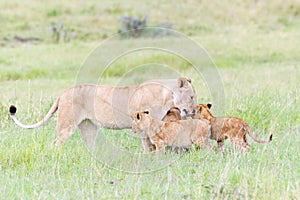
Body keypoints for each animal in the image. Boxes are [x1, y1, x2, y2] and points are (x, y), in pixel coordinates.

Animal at [9, 77, 197, 145]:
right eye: (192, 97)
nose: (195, 110)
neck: (168, 96)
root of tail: (63, 92)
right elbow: (149, 145)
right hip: (66, 124)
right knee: (56, 144)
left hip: (88, 126)